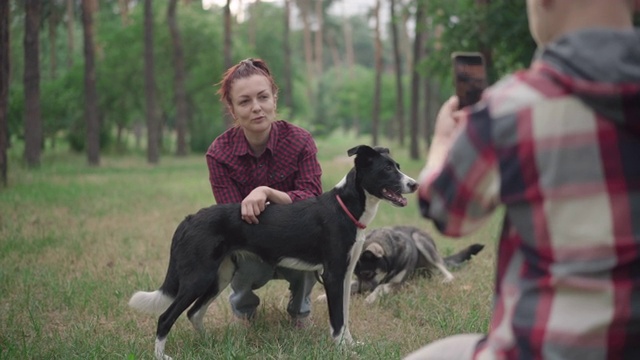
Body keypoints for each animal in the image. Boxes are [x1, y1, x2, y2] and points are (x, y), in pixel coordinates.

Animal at [129, 145, 418, 358]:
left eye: (398, 166)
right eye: (387, 169)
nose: (414, 184)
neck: (346, 207)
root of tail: (189, 219)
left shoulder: (346, 276)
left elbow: (345, 317)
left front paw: (350, 345)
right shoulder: (334, 275)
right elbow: (337, 320)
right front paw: (342, 351)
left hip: (219, 276)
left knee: (194, 313)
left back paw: (209, 344)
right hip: (199, 277)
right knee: (166, 317)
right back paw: (162, 355)